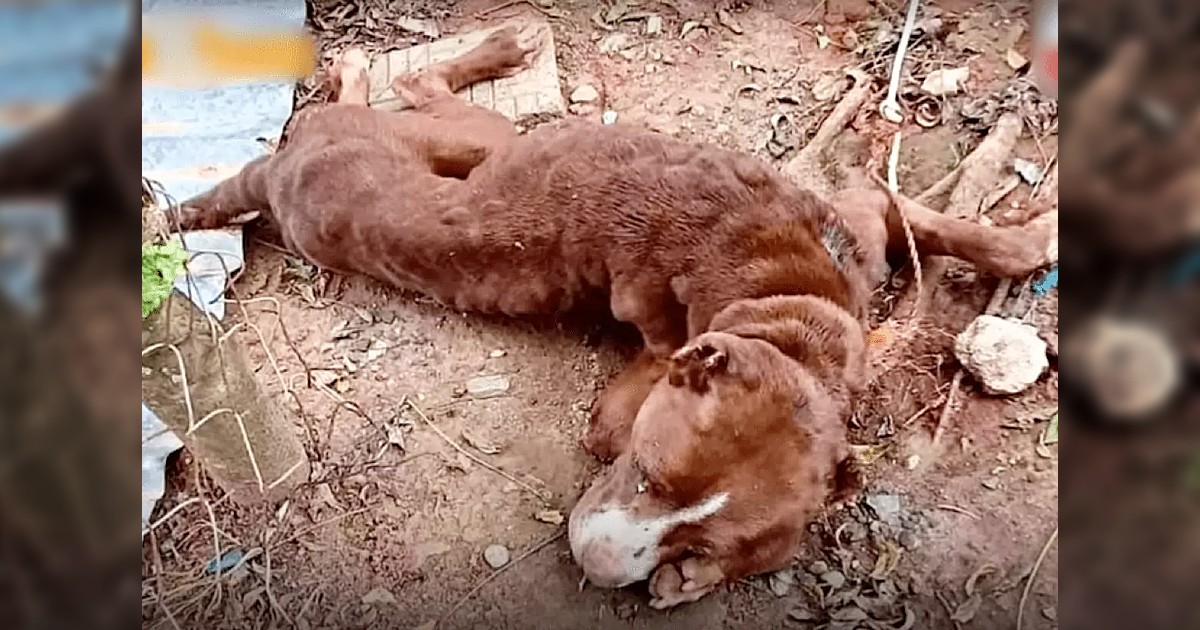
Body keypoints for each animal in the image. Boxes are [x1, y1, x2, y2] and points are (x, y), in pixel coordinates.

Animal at [164, 24, 1056, 609]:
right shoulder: (644, 388)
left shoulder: (859, 233)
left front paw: (1024, 244)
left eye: (699, 539)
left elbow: (939, 223)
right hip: (474, 137)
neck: (794, 309)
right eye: (645, 473)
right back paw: (487, 50)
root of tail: (283, 170)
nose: (594, 565)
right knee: (413, 87)